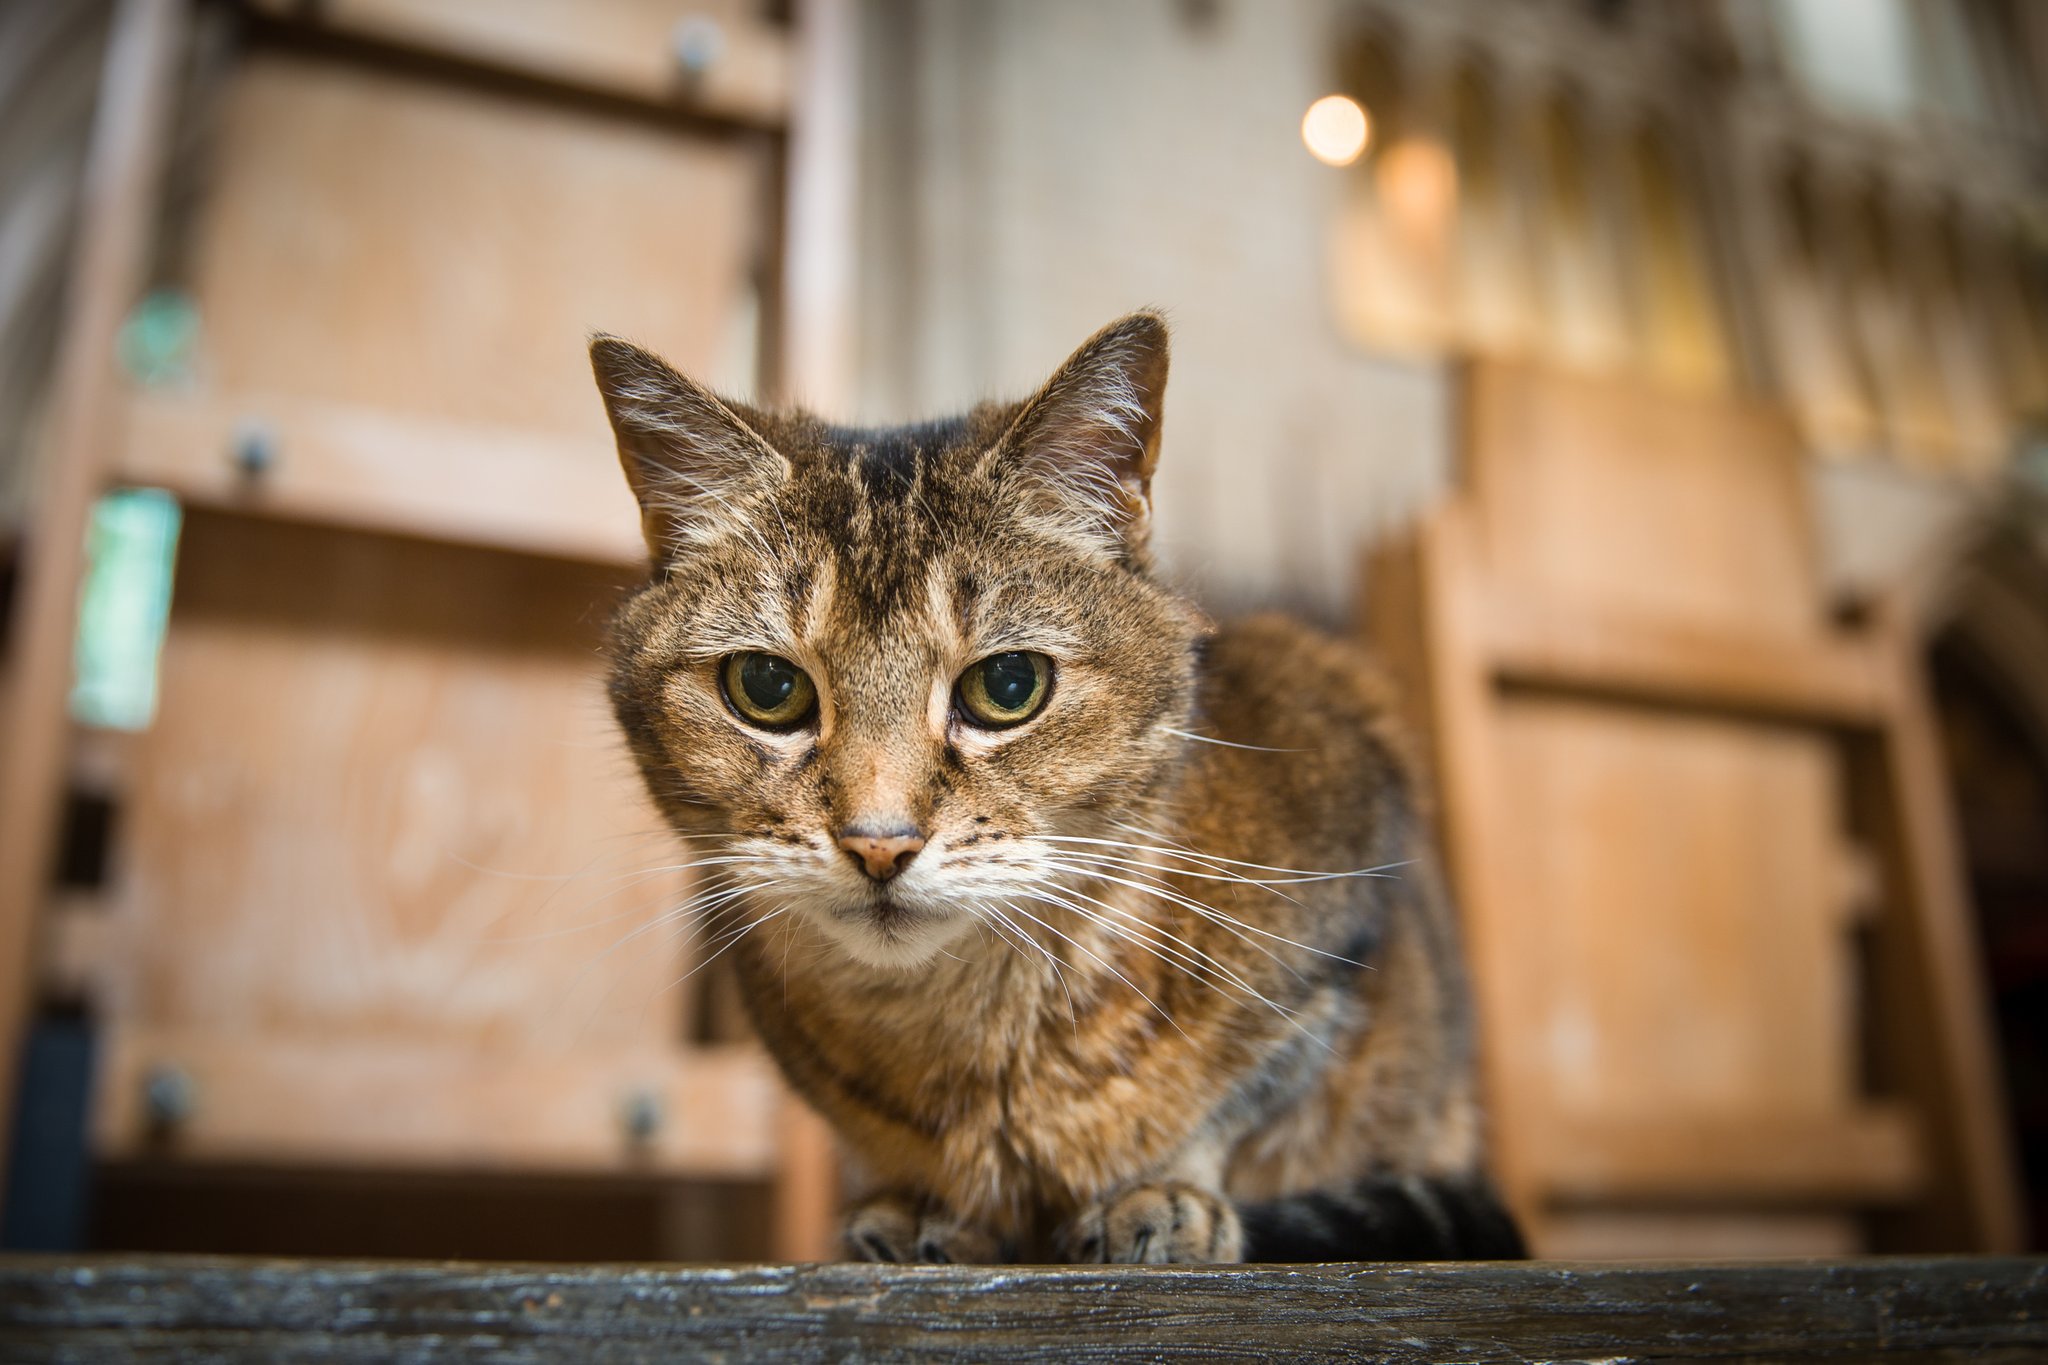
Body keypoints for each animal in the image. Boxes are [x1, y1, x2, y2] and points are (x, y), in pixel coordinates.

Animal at [589, 315, 1523, 1268]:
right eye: (767, 688)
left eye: (1007, 685)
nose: (878, 842)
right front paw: (922, 1209)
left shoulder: (1339, 911)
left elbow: (1234, 1105)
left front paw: (1164, 1197)